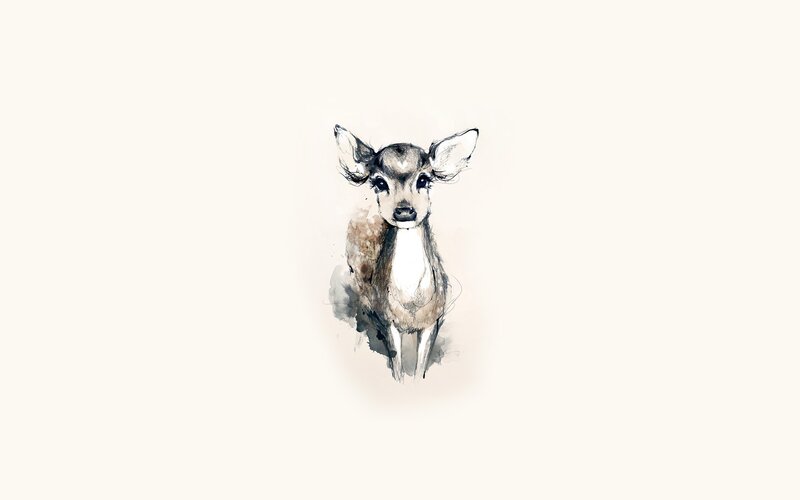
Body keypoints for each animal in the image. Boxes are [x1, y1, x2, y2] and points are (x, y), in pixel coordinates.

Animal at [332, 125, 479, 381]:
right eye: (379, 182)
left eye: (424, 179)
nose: (404, 211)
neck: (411, 304)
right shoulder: (388, 320)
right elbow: (398, 367)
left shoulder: (433, 321)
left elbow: (420, 368)